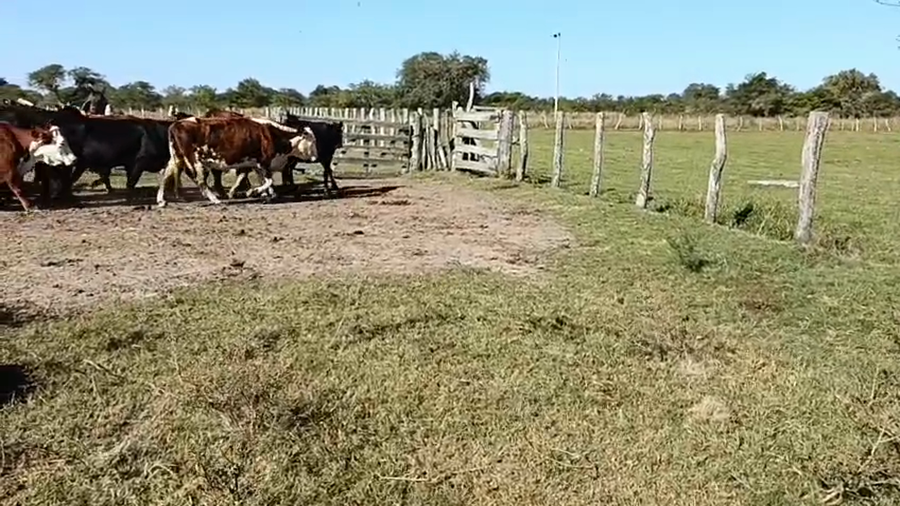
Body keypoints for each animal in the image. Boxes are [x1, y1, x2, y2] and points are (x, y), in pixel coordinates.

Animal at [157, 116, 318, 207]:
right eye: (312, 140)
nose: (315, 157)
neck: (271, 134)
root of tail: (176, 124)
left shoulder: (256, 164)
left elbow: (263, 181)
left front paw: (268, 196)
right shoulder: (264, 162)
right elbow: (268, 181)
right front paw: (252, 192)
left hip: (176, 158)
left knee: (166, 174)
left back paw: (161, 200)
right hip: (196, 161)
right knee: (200, 181)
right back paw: (215, 199)